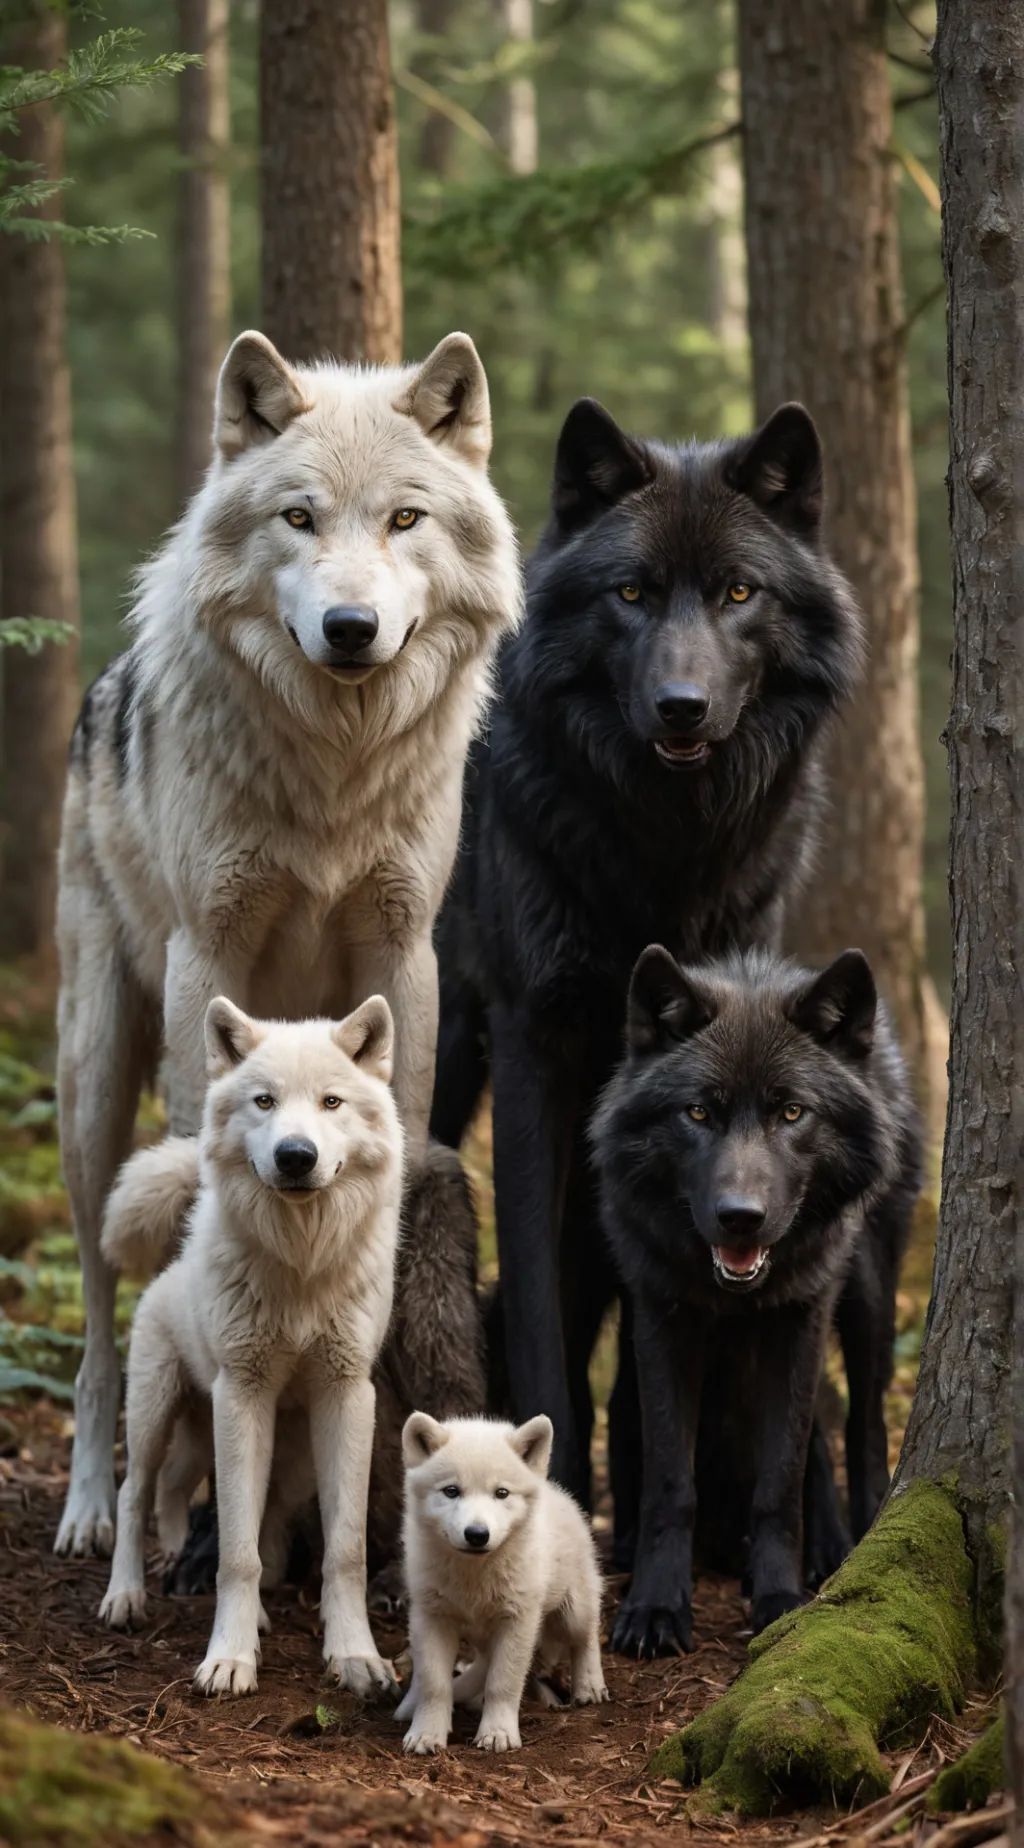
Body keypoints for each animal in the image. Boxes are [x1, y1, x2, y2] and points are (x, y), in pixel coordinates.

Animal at [56, 327, 521, 1557]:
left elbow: (401, 1134)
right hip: (89, 1088)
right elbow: (190, 1184)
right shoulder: (204, 958)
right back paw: (97, 1506)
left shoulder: (406, 953)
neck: (333, 768)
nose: (351, 630)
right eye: (300, 517)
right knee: (99, 1311)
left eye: (404, 518)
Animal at [100, 996, 404, 1699]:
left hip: (280, 1459)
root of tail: (170, 1265)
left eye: (330, 1102)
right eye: (264, 1101)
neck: (300, 1264)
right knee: (136, 1494)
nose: (295, 1155)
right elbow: (235, 1554)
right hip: (156, 1414)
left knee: (219, 1503)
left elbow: (344, 1550)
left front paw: (355, 1655)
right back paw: (125, 1597)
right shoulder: (242, 1394)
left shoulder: (347, 1397)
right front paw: (229, 1659)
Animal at [396, 1412, 607, 1754]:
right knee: (481, 1662)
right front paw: (426, 1733)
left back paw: (589, 1685)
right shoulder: (431, 1617)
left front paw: (497, 1733)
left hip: (573, 1611)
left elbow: (503, 1681)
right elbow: (434, 1683)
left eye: (502, 1493)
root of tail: (557, 1491)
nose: (477, 1534)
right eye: (451, 1491)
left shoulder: (518, 1620)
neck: (475, 1574)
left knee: (586, 1636)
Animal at [430, 397, 863, 1532]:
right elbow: (538, 1297)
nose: (680, 705)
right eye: (629, 593)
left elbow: (657, 1302)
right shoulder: (535, 1047)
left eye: (738, 593)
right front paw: (555, 1484)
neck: (660, 847)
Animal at [590, 944, 922, 1655]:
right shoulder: (661, 1319)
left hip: (865, 1297)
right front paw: (655, 1606)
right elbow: (671, 1482)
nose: (740, 1217)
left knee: (864, 1422)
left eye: (791, 1113)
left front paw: (778, 1598)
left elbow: (778, 1481)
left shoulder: (802, 1316)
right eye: (698, 1113)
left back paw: (852, 1538)